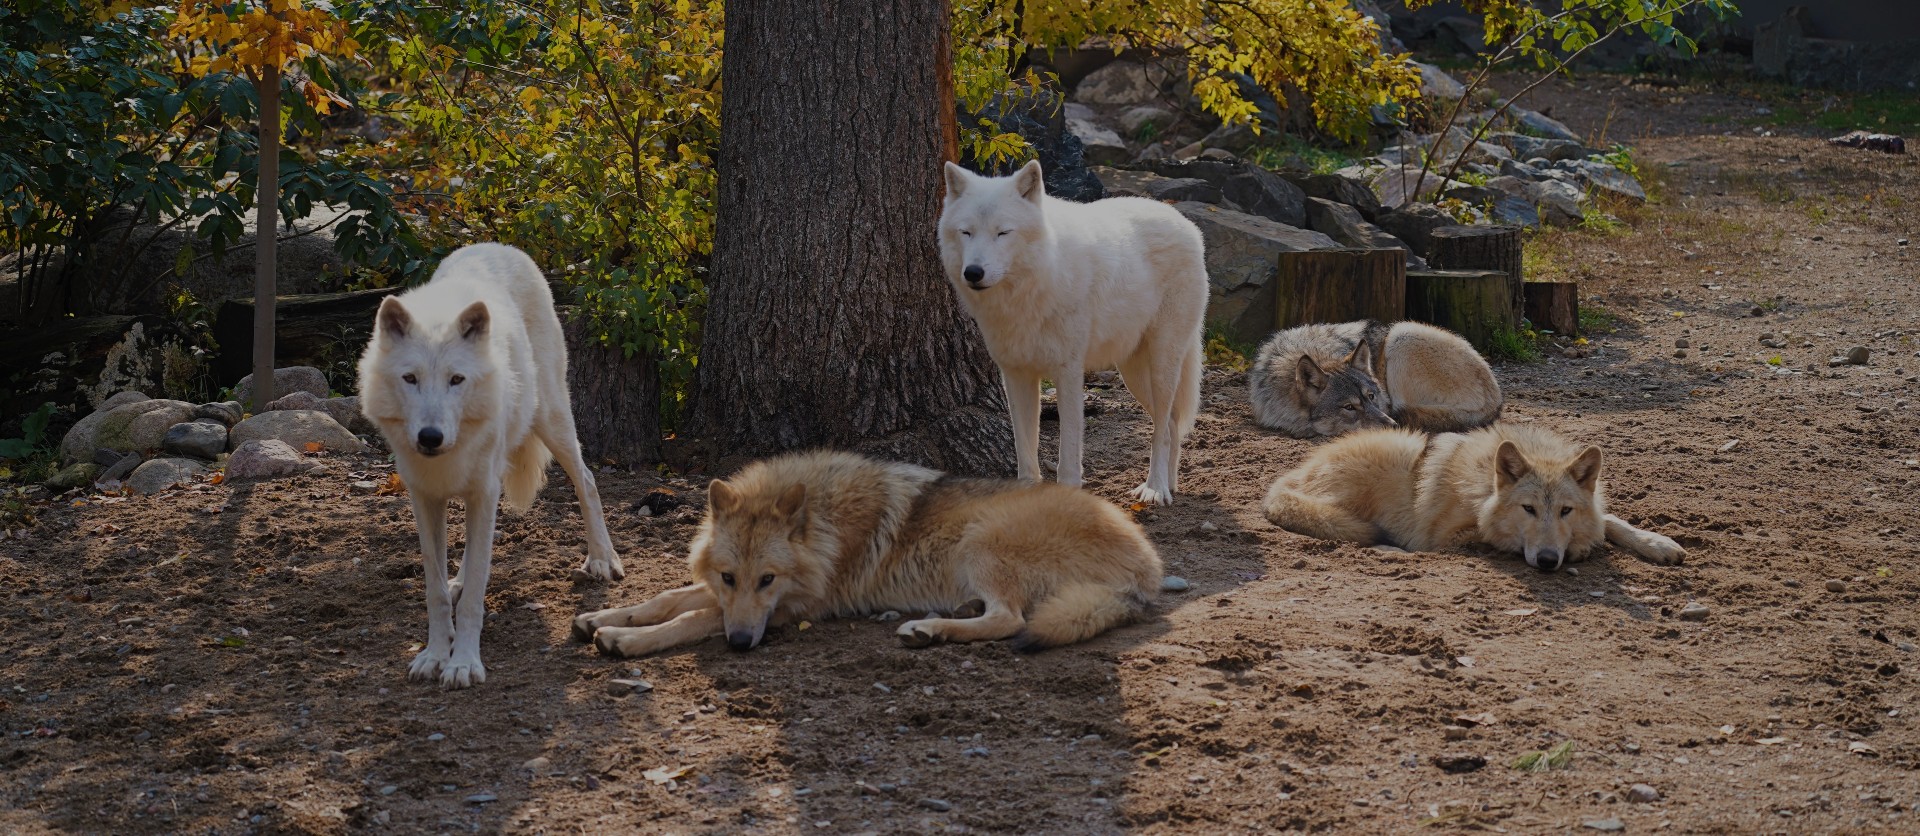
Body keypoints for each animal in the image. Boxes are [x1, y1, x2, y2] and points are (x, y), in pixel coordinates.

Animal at [358, 243, 622, 688]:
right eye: (410, 378)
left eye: (456, 379)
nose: (430, 437)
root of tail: (501, 247)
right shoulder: (425, 497)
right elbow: (435, 589)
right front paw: (435, 654)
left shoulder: (482, 490)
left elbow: (476, 593)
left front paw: (463, 662)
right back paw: (460, 581)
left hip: (551, 420)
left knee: (586, 479)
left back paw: (602, 558)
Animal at [570, 449, 1163, 657]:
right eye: (731, 577)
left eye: (768, 580)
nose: (740, 646)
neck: (825, 526)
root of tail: (1149, 570)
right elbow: (670, 597)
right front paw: (604, 616)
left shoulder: (791, 609)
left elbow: (692, 618)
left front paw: (624, 639)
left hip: (980, 540)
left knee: (1011, 620)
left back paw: (928, 630)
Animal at [938, 159, 1208, 506]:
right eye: (966, 232)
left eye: (1003, 232)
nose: (973, 272)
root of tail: (1185, 223)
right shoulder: (1016, 375)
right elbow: (1025, 451)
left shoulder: (1068, 372)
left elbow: (1068, 459)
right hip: (1133, 373)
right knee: (1173, 421)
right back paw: (1170, 485)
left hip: (1162, 363)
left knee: (1162, 427)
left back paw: (1155, 488)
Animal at [1261, 424, 1686, 572]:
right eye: (1528, 509)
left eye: (1566, 510)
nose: (1549, 561)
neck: (1484, 488)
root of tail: (1288, 477)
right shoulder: (1449, 534)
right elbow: (1494, 536)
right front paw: (1581, 548)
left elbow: (1610, 520)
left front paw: (1657, 542)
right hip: (1399, 448)